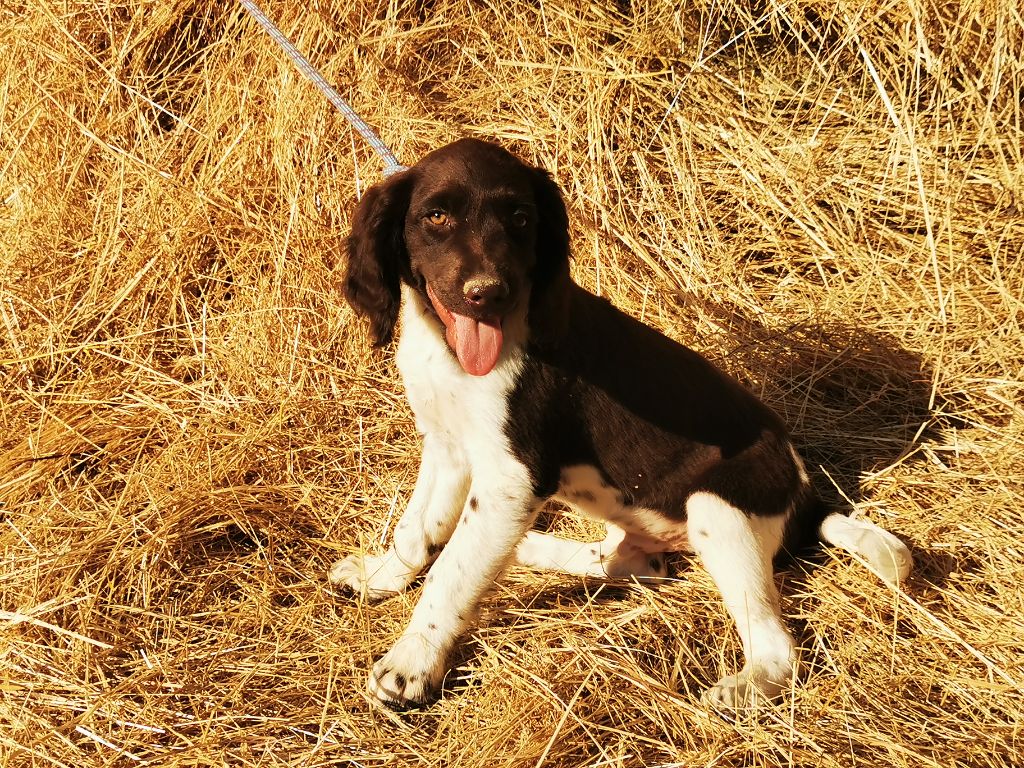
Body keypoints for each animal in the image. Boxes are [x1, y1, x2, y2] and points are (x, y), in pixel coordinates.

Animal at [329, 137, 913, 708]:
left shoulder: (512, 479)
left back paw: (745, 687)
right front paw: (381, 577)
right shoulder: (448, 448)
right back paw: (536, 548)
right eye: (436, 216)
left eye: (520, 218)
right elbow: (417, 533)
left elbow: (452, 570)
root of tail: (806, 500)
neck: (449, 351)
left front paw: (411, 666)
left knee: (776, 645)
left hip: (718, 506)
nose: (488, 293)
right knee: (624, 562)